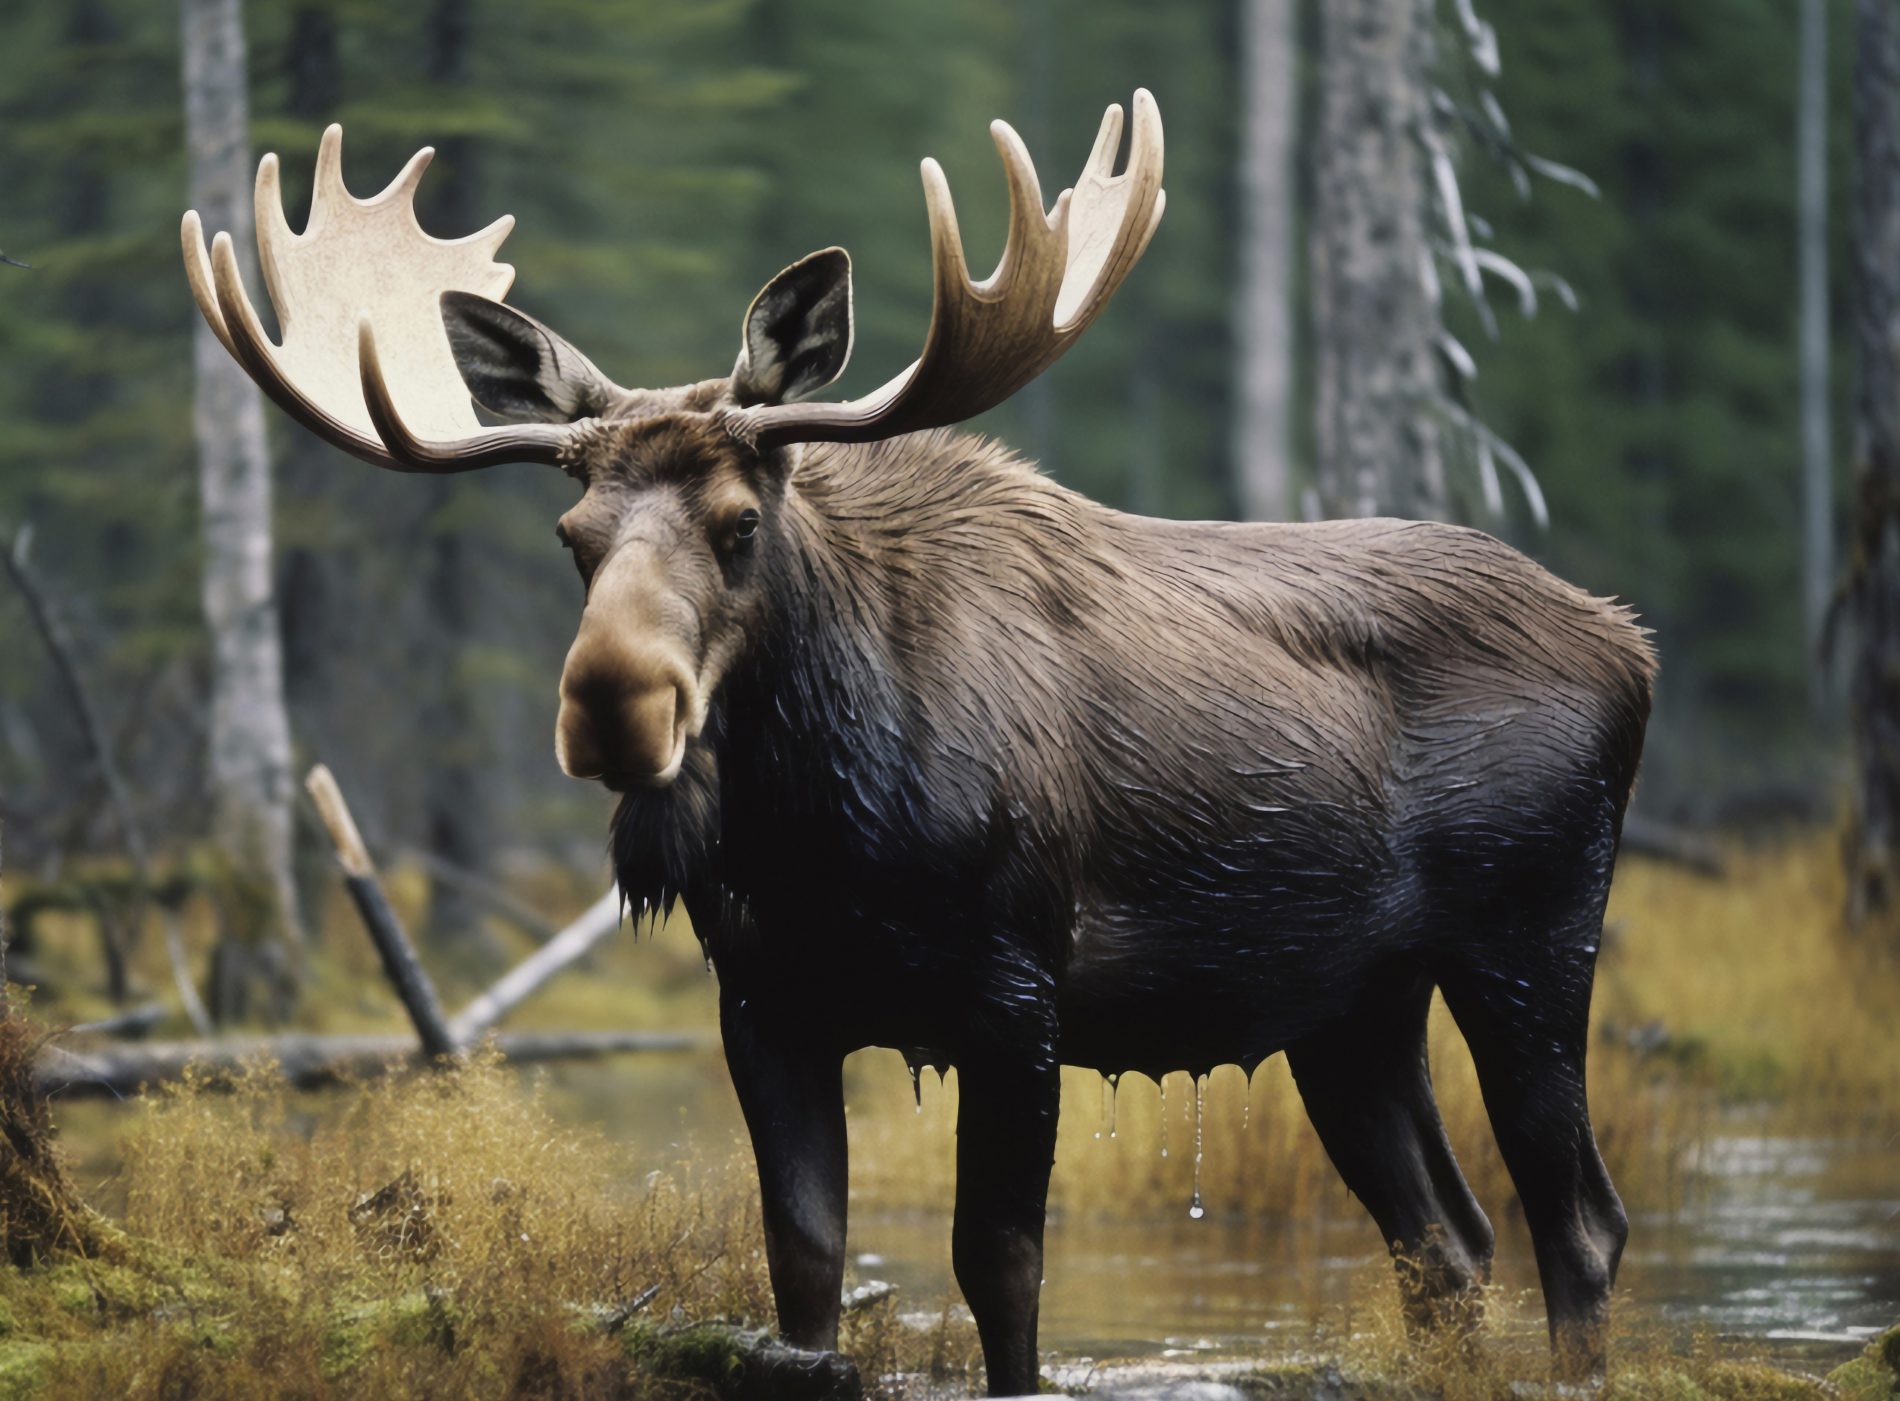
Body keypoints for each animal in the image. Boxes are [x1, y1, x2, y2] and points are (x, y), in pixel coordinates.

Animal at [185, 93, 1656, 1391]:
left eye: (740, 521)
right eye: (571, 534)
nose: (614, 701)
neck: (821, 832)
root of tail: (1633, 645)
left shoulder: (1015, 995)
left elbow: (999, 1272)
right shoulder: (764, 1000)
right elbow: (804, 1269)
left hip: (1529, 941)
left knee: (1577, 1223)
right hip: (1348, 1003)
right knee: (1446, 1246)